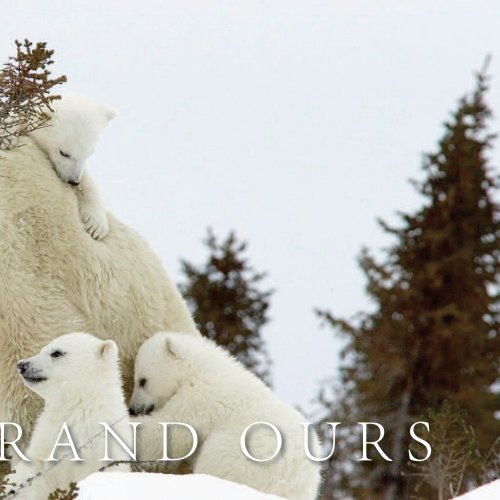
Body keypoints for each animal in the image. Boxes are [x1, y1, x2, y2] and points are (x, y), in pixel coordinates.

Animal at [1, 94, 114, 242]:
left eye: (89, 153)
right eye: (63, 153)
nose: (73, 181)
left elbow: (88, 182)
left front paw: (96, 225)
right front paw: (7, 137)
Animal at [7, 332, 133, 500]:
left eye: (56, 353)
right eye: (43, 349)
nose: (22, 364)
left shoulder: (104, 449)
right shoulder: (47, 441)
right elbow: (32, 473)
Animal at [129, 332, 322, 500]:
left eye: (142, 381)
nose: (132, 408)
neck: (200, 369)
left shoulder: (201, 399)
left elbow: (170, 429)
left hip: (241, 457)